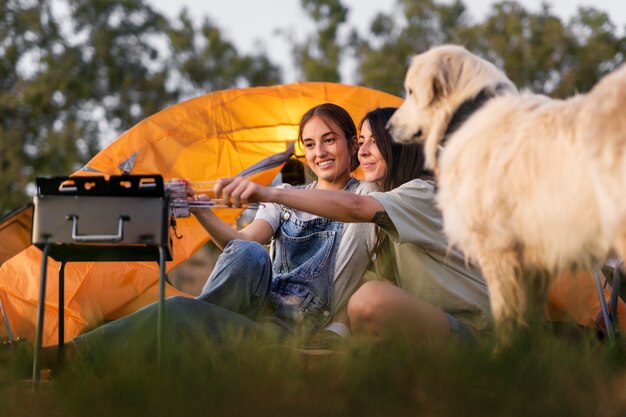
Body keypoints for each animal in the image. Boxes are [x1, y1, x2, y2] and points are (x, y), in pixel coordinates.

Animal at [388, 44, 624, 338]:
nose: (387, 127)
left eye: (410, 91)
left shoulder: (497, 247)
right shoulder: (535, 258)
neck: (468, 113)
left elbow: (505, 316)